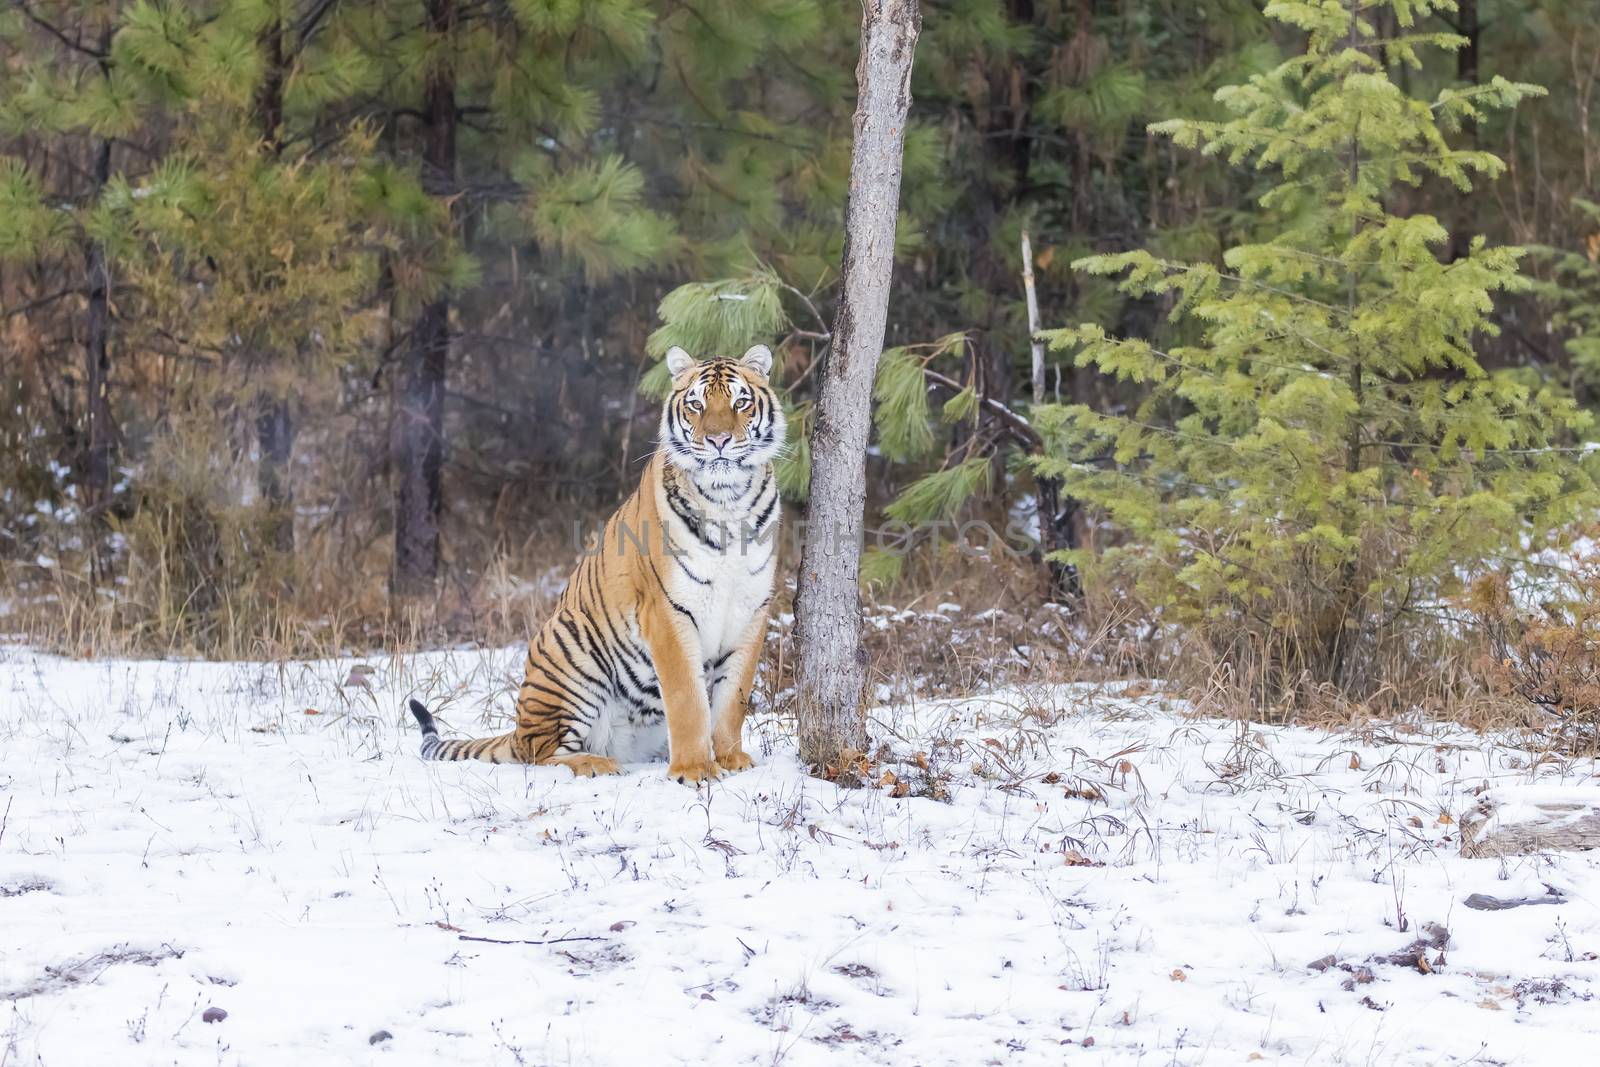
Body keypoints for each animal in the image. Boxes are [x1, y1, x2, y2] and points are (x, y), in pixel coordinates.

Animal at [409, 343, 784, 783]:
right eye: (696, 404)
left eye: (741, 402)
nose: (719, 439)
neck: (728, 500)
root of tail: (517, 730)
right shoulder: (668, 612)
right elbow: (688, 700)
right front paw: (695, 771)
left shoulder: (751, 610)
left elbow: (732, 698)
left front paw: (730, 759)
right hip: (570, 649)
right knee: (541, 753)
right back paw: (596, 764)